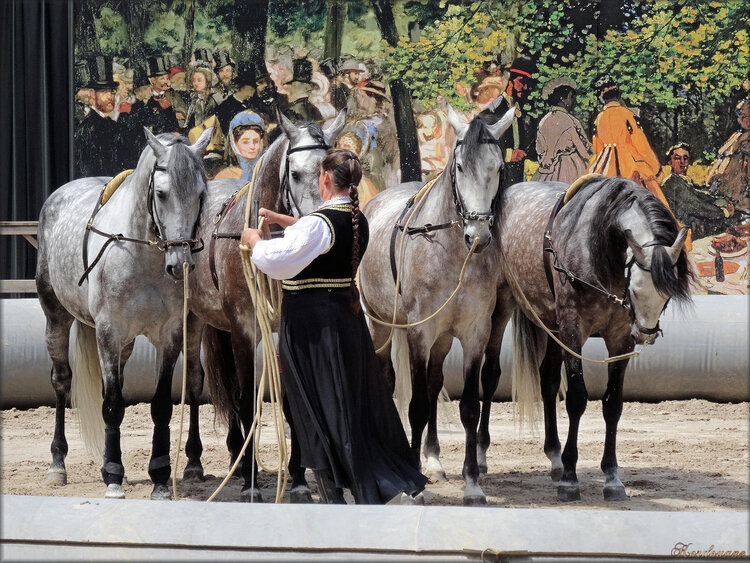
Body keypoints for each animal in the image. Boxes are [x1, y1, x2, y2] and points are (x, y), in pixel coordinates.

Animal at [35, 126, 212, 498]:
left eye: (201, 195)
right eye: (160, 193)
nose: (180, 263)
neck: (141, 256)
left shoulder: (169, 335)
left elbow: (160, 405)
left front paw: (159, 478)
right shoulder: (108, 332)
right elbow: (114, 405)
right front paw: (114, 478)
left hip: (129, 344)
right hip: (56, 316)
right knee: (61, 381)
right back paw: (57, 465)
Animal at [360, 106, 516, 506]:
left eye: (498, 168)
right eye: (459, 166)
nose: (478, 236)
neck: (452, 251)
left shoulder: (475, 333)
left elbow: (468, 406)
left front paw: (472, 483)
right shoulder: (419, 331)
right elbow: (415, 407)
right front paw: (412, 485)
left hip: (443, 339)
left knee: (433, 383)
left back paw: (433, 459)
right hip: (381, 325)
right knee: (390, 379)